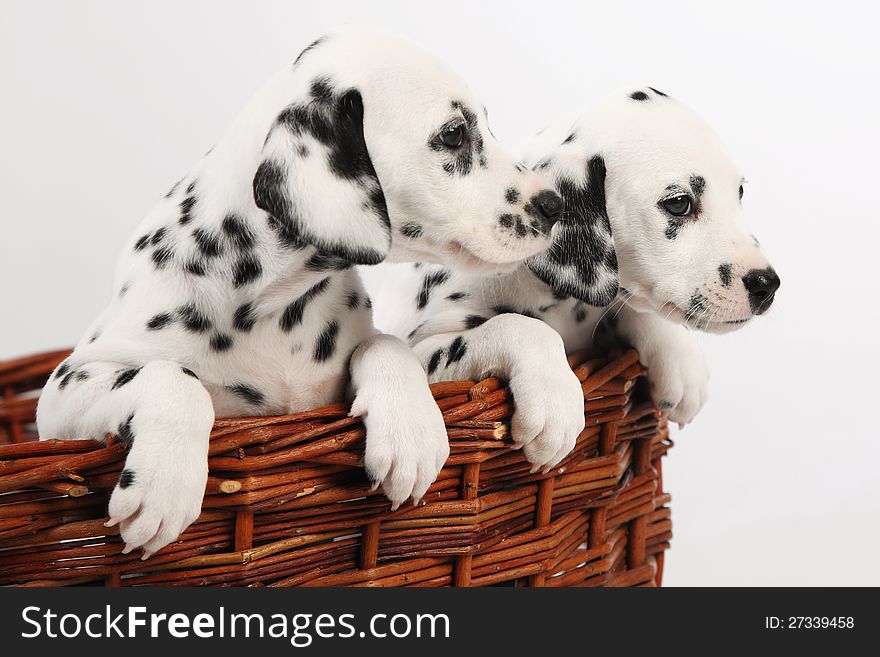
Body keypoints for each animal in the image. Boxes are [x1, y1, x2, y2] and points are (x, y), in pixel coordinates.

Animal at [34, 26, 564, 560]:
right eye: (454, 133)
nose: (555, 205)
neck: (273, 301)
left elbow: (391, 344)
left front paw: (411, 430)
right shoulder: (62, 395)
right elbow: (172, 377)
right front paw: (165, 485)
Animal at [374, 86, 780, 440]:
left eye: (739, 193)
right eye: (679, 202)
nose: (768, 284)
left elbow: (632, 309)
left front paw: (680, 359)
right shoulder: (424, 348)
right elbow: (522, 327)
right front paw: (555, 400)